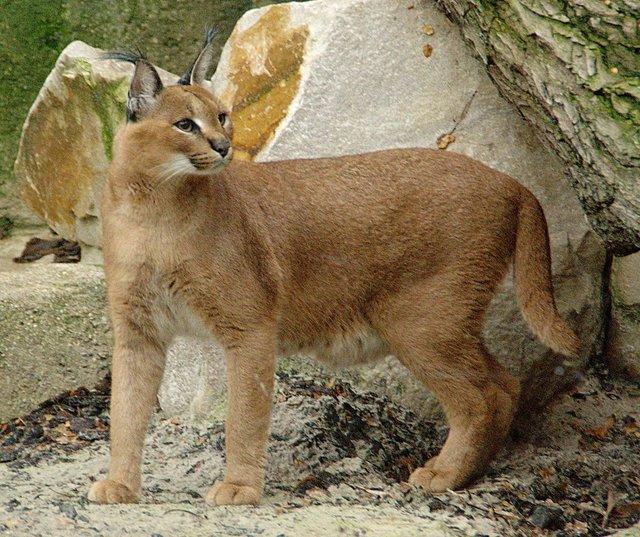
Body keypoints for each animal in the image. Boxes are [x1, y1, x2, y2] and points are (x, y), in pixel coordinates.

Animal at [89, 32, 580, 502]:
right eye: (185, 125)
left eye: (222, 116)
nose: (225, 147)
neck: (152, 208)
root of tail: (509, 181)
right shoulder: (138, 331)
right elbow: (125, 413)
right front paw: (119, 485)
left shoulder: (250, 326)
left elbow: (243, 415)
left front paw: (240, 488)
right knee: (507, 384)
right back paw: (467, 473)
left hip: (421, 322)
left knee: (485, 397)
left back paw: (443, 475)